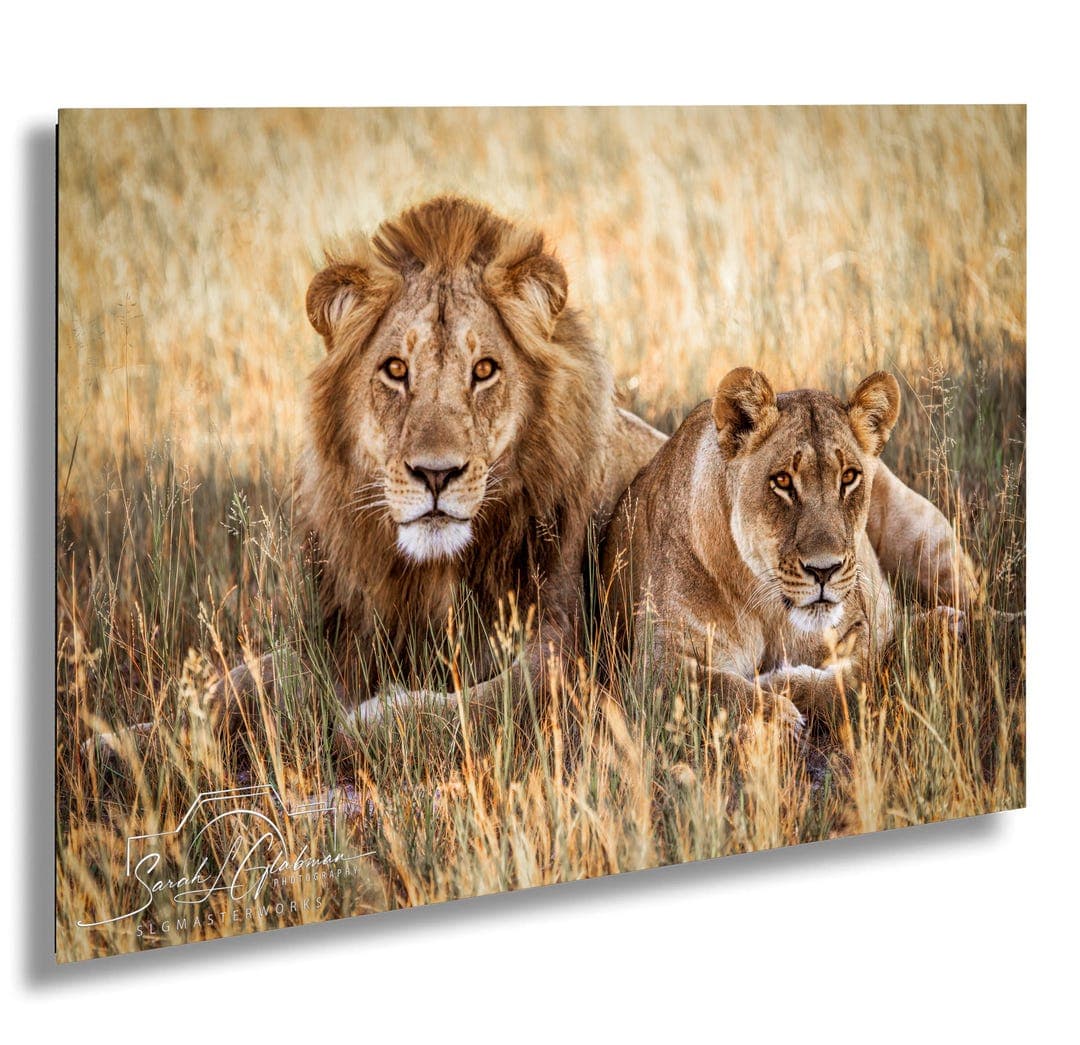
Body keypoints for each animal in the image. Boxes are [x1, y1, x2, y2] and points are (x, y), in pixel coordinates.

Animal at [600, 366, 973, 735]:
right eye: (782, 481)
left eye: (849, 477)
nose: (824, 570)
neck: (768, 607)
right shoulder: (655, 669)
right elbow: (718, 688)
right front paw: (776, 713)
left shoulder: (857, 624)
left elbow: (858, 677)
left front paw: (779, 684)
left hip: (927, 538)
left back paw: (950, 624)